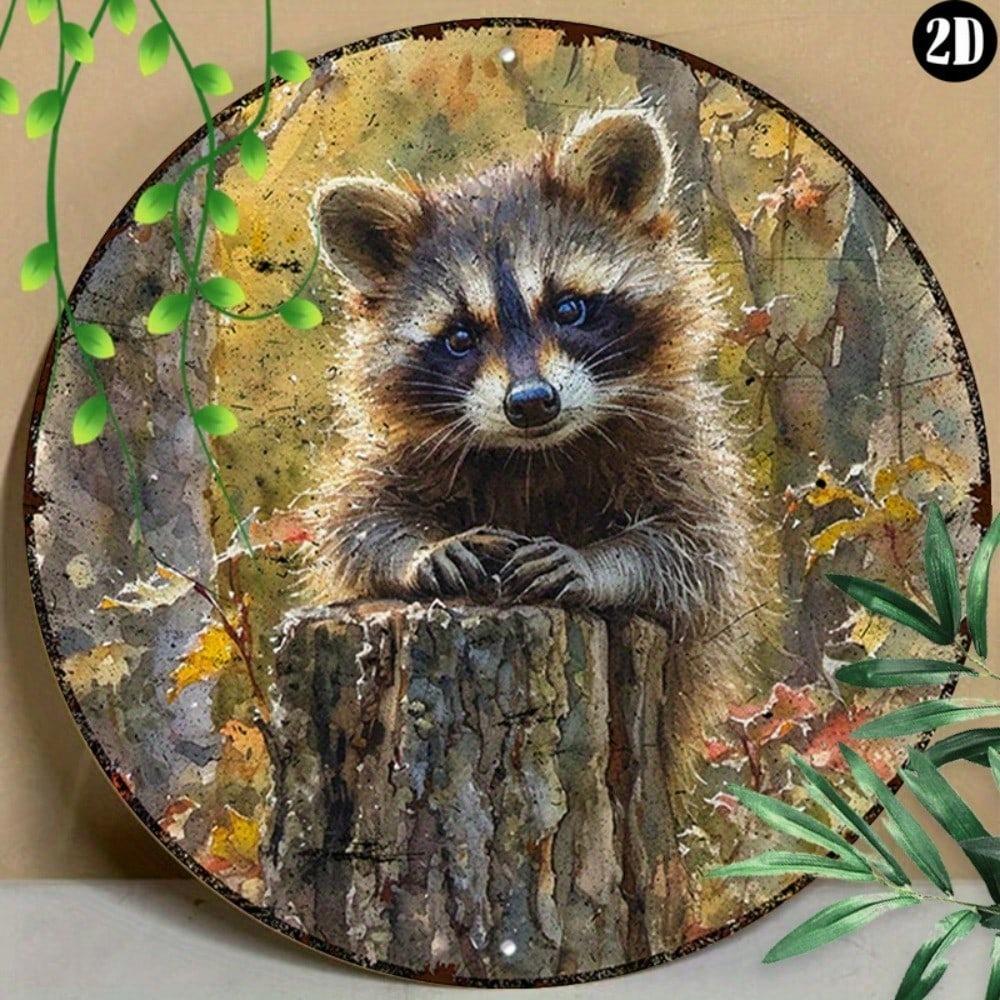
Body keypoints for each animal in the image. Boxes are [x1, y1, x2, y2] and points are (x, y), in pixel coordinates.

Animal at [305, 109, 755, 639]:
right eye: (460, 337)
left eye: (568, 308)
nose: (531, 401)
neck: (535, 455)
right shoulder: (397, 451)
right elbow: (355, 523)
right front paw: (420, 551)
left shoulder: (678, 441)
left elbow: (691, 547)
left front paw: (599, 563)